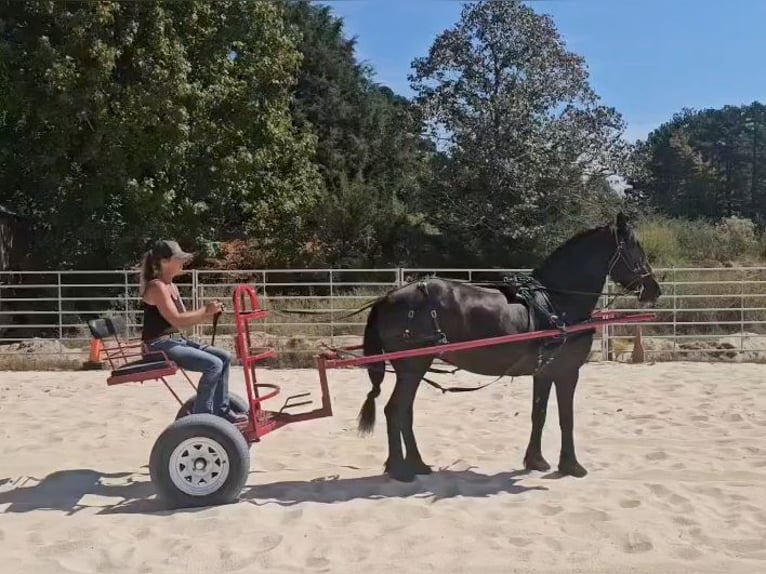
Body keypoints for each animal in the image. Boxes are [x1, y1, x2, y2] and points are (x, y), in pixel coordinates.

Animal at [356, 213, 662, 482]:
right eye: (635, 248)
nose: (654, 289)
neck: (557, 302)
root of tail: (387, 297)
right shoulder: (567, 372)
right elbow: (566, 419)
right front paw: (571, 465)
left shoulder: (544, 373)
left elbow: (539, 414)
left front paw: (535, 460)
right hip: (413, 366)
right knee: (395, 410)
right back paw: (401, 469)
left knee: (404, 412)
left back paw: (417, 464)